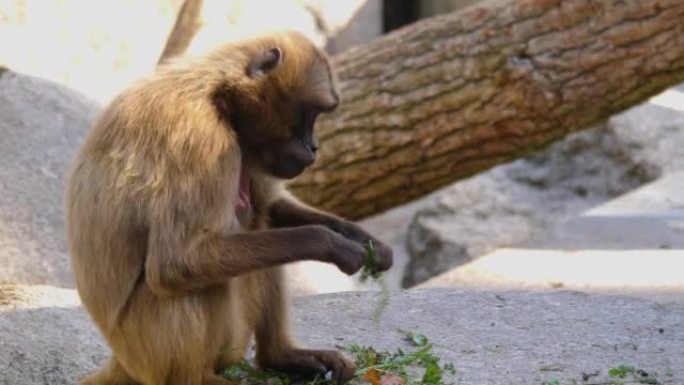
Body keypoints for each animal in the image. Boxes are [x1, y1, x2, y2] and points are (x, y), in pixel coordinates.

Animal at [67, 30, 392, 385]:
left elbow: (269, 206)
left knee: (258, 221)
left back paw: (280, 357)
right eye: (310, 114)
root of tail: (120, 359)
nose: (314, 147)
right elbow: (174, 263)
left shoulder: (244, 146)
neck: (216, 96)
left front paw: (366, 241)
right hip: (148, 351)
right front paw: (329, 243)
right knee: (193, 278)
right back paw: (196, 378)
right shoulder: (200, 139)